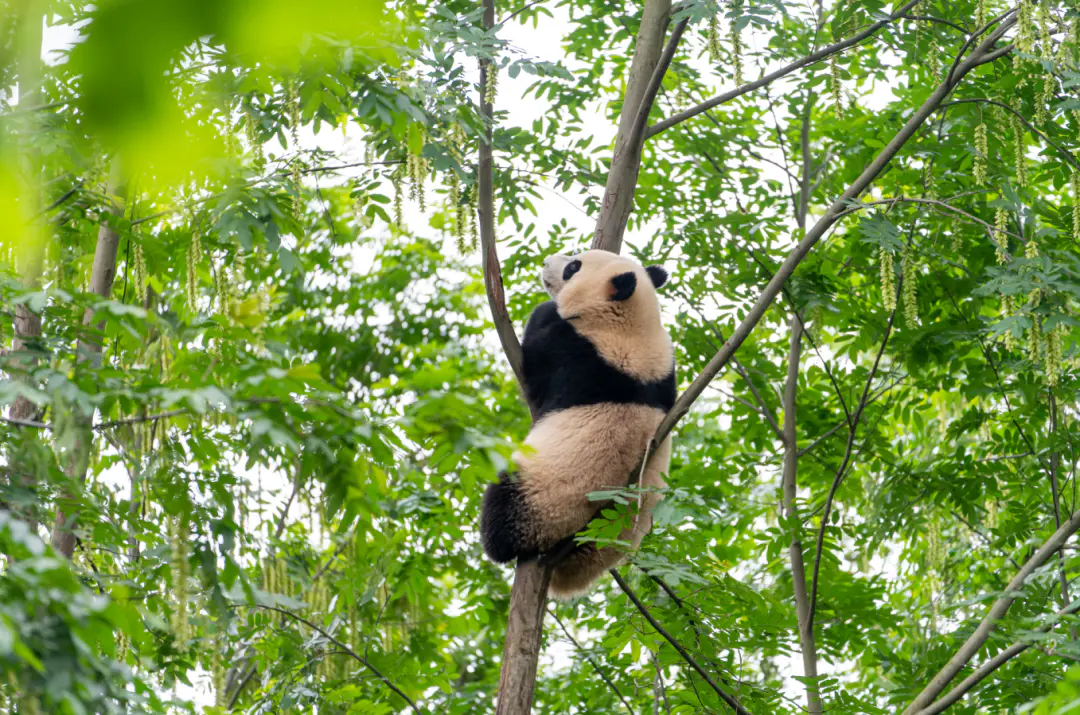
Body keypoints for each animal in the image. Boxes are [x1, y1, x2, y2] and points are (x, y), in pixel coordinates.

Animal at [481, 249, 673, 596]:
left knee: (503, 508)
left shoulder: (580, 354)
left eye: (574, 266)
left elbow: (538, 354)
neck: (633, 326)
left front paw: (546, 309)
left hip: (542, 502)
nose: (546, 262)